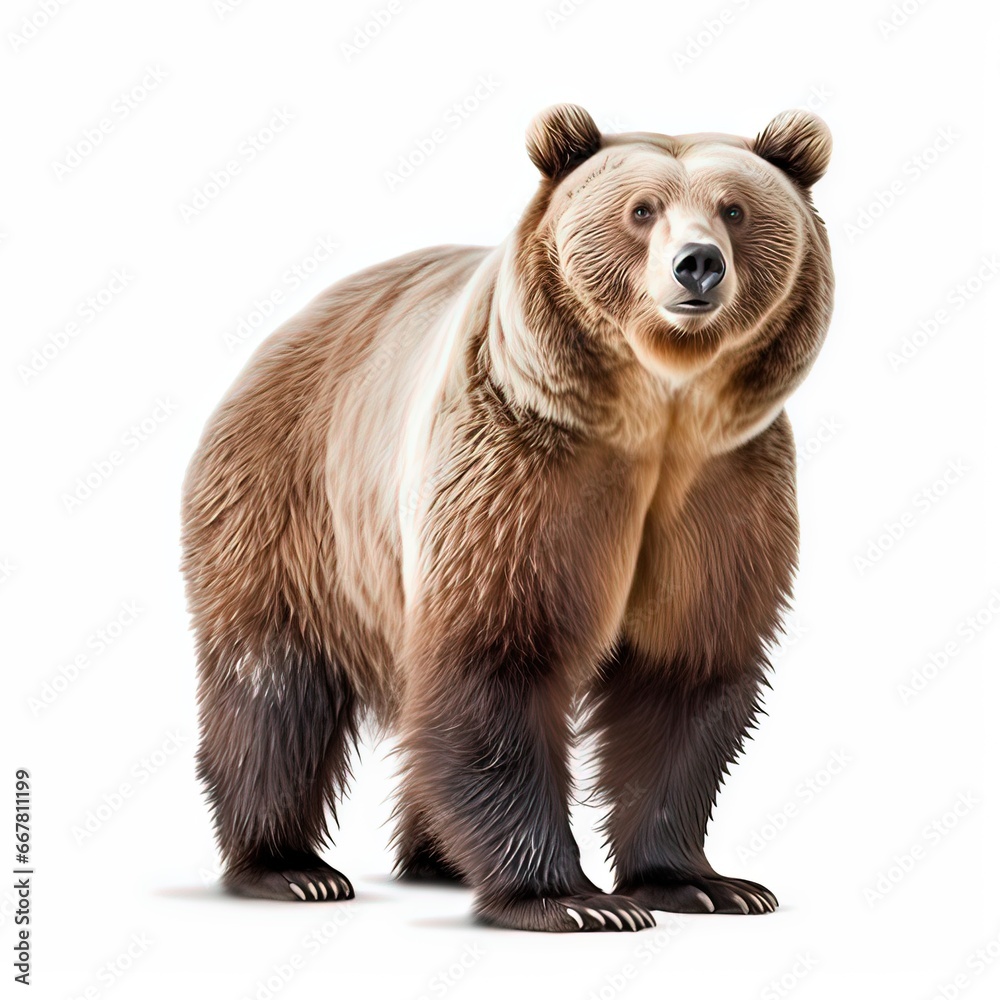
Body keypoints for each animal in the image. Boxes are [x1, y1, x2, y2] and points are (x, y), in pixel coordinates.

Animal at [181, 103, 833, 932]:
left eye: (735, 209)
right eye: (641, 209)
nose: (697, 265)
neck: (658, 413)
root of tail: (273, 343)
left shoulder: (721, 488)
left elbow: (684, 672)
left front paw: (702, 883)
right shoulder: (520, 467)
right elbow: (499, 655)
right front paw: (571, 900)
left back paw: (436, 858)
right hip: (289, 505)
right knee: (274, 687)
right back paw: (289, 867)